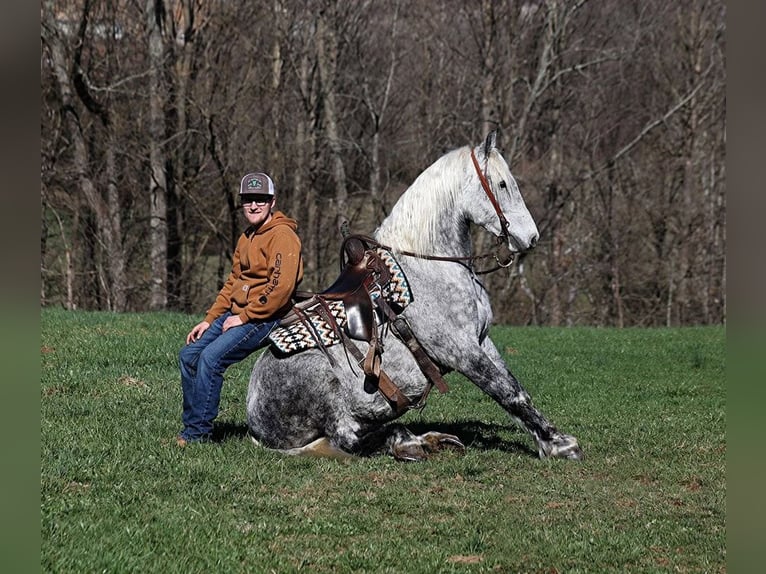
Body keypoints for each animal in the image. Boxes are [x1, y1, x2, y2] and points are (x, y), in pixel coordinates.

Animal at [246, 132, 583, 461]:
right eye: (502, 184)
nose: (531, 237)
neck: (430, 266)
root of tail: (254, 420)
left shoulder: (482, 340)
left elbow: (513, 386)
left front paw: (549, 439)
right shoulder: (461, 351)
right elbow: (507, 392)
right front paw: (559, 444)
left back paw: (432, 439)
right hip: (327, 393)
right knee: (348, 439)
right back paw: (412, 442)